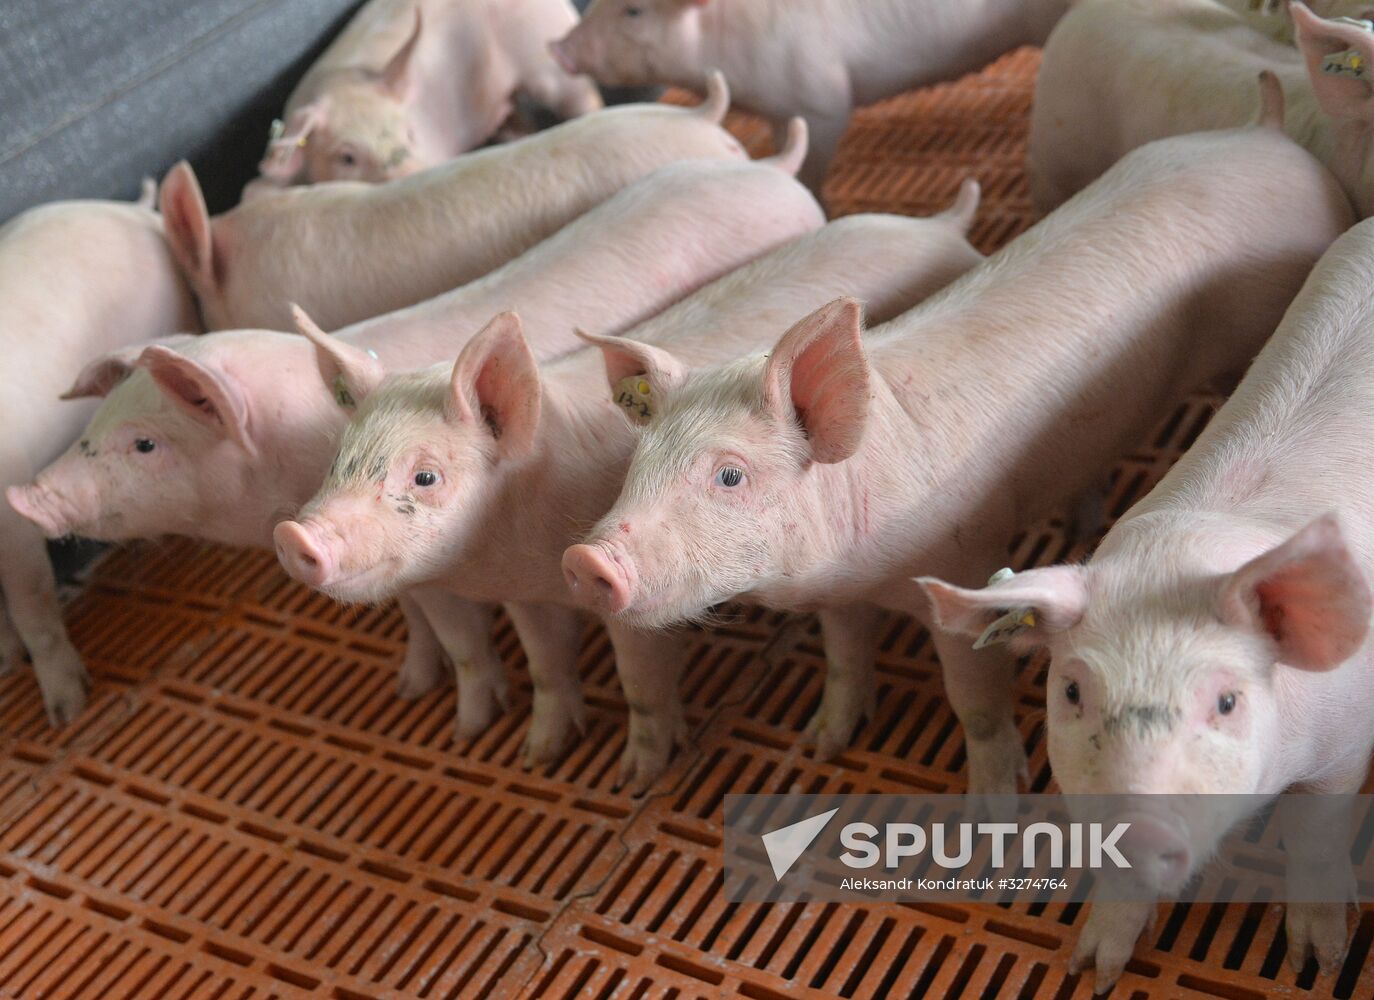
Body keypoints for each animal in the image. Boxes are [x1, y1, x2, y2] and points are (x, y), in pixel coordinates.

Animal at [268, 197, 986, 792]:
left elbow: (639, 681)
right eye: (338, 460)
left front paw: (634, 782)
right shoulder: (521, 591)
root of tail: (934, 224)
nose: (292, 534)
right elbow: (543, 666)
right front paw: (527, 752)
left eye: (425, 476)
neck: (515, 545)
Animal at [551, 0, 1072, 191]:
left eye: (634, 11)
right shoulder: (777, 107)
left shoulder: (822, 100)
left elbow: (815, 160)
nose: (557, 48)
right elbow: (784, 141)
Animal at [561, 101, 1354, 799]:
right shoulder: (838, 592)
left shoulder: (966, 557)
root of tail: (1265, 131)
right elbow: (844, 659)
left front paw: (995, 797)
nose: (584, 559)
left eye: (729, 474)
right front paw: (822, 743)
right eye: (638, 465)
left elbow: (973, 697)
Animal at [918, 218, 1374, 992]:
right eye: (1072, 691)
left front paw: (1319, 960)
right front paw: (1091, 969)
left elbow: (1315, 839)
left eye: (1226, 701)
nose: (1139, 830)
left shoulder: (1345, 748)